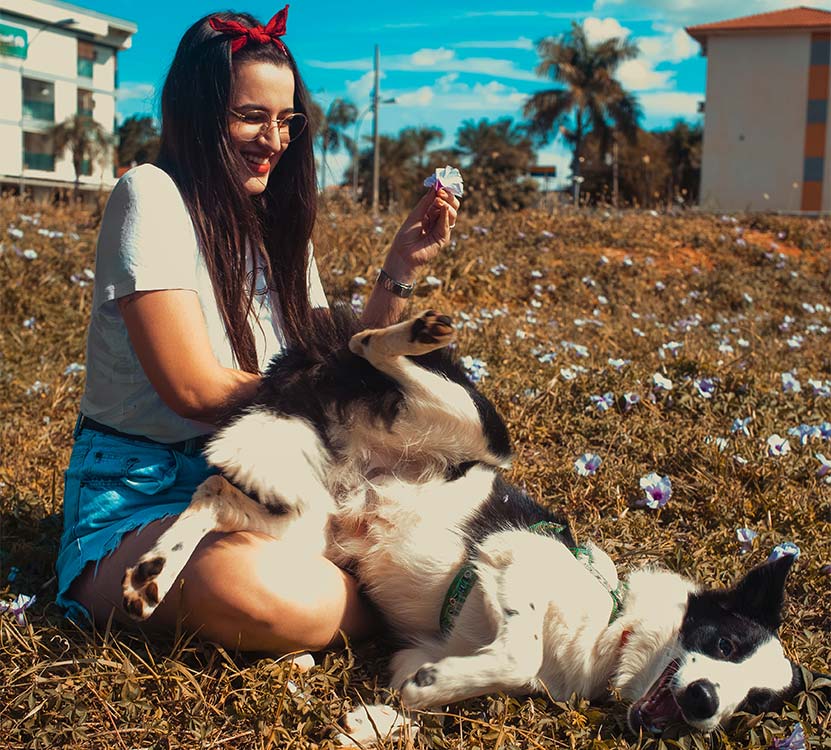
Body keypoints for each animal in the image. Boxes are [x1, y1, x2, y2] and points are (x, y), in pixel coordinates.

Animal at [122, 308, 824, 736]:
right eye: (724, 644)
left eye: (755, 706)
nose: (707, 702)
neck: (610, 629)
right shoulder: (511, 559)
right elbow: (518, 651)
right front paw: (440, 687)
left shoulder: (414, 651)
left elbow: (416, 693)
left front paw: (397, 711)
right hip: (475, 424)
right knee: (366, 344)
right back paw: (413, 331)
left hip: (309, 522)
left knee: (213, 494)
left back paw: (152, 575)